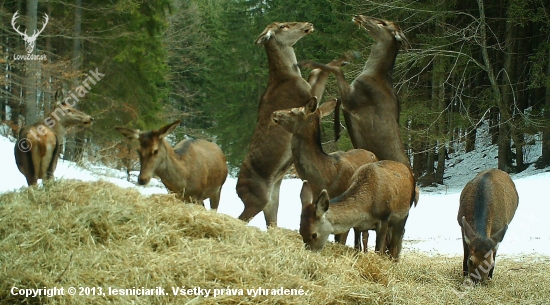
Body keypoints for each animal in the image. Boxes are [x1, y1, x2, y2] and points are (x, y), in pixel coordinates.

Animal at [237, 20, 350, 226]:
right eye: (282, 26)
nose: (308, 24)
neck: (289, 74)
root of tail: (237, 190)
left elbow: (315, 71)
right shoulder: (306, 95)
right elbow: (320, 75)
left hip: (272, 198)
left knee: (271, 222)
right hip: (256, 199)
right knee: (241, 218)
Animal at [272, 97, 380, 249]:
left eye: (293, 111)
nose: (274, 113)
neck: (323, 178)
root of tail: (373, 154)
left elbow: (341, 238)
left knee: (364, 234)